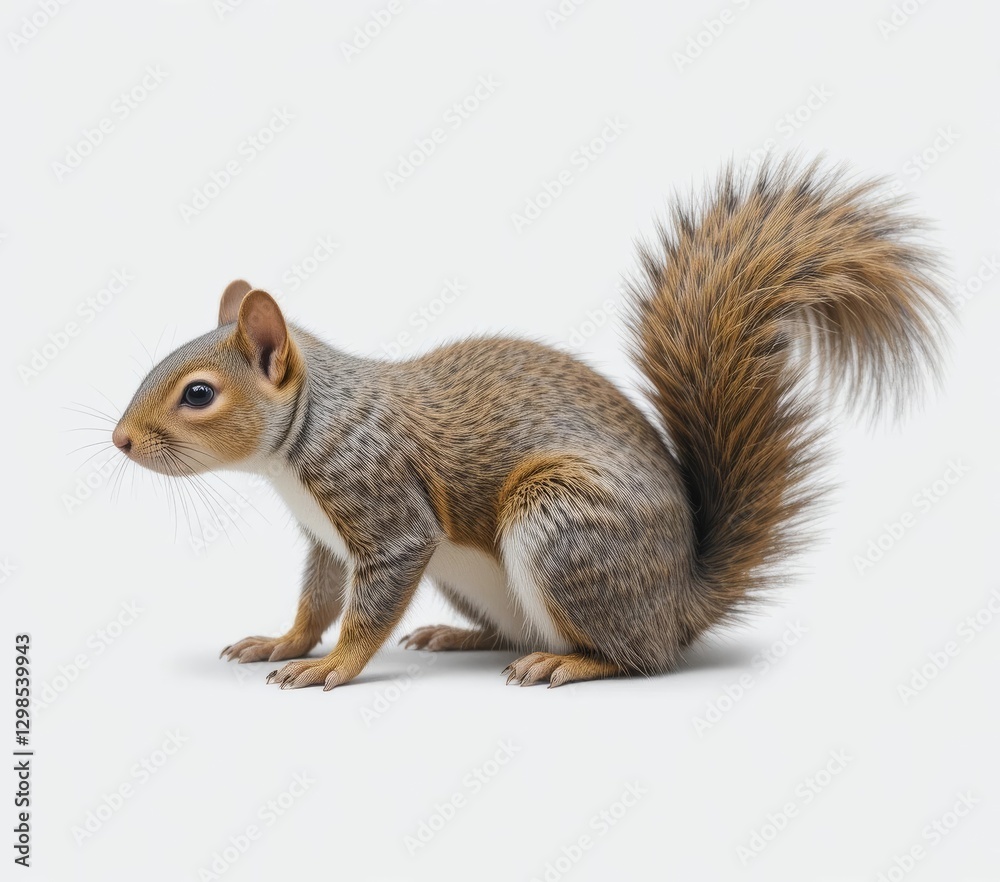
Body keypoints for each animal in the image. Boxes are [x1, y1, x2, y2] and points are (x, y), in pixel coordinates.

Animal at [112, 158, 950, 690]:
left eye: (197, 394)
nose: (120, 442)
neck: (301, 438)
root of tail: (679, 603)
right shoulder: (326, 540)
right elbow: (317, 599)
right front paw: (281, 641)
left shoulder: (384, 509)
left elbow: (364, 609)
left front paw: (332, 665)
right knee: (520, 631)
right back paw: (461, 636)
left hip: (564, 528)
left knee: (637, 658)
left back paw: (573, 662)